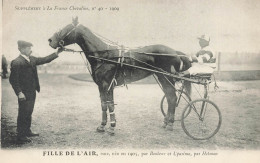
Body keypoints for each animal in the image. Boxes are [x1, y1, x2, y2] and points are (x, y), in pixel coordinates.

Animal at [48, 17, 191, 136]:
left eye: (65, 28)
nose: (50, 40)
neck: (103, 55)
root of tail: (174, 51)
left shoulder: (108, 85)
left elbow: (110, 105)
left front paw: (112, 127)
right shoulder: (101, 86)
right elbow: (103, 105)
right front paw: (102, 126)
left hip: (166, 77)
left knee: (172, 97)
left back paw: (170, 124)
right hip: (162, 77)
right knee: (169, 97)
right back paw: (166, 122)